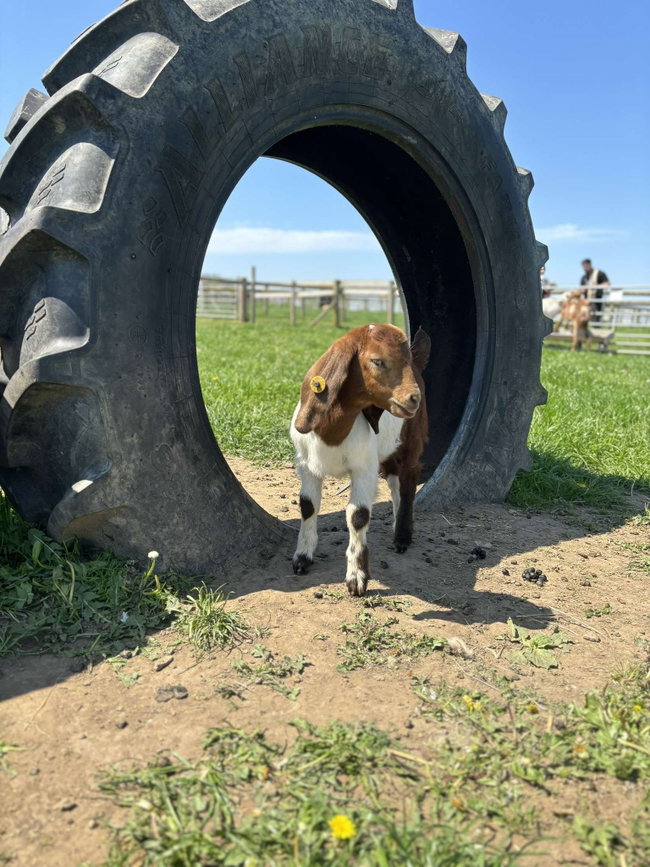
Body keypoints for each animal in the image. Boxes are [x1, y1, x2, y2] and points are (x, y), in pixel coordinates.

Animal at [290, 323, 431, 597]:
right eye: (377, 361)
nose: (413, 399)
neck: (333, 430)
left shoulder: (364, 467)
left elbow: (358, 515)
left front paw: (357, 578)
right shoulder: (307, 466)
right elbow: (308, 506)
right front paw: (302, 558)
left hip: (412, 439)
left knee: (408, 481)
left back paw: (402, 536)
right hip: (389, 449)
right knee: (395, 482)